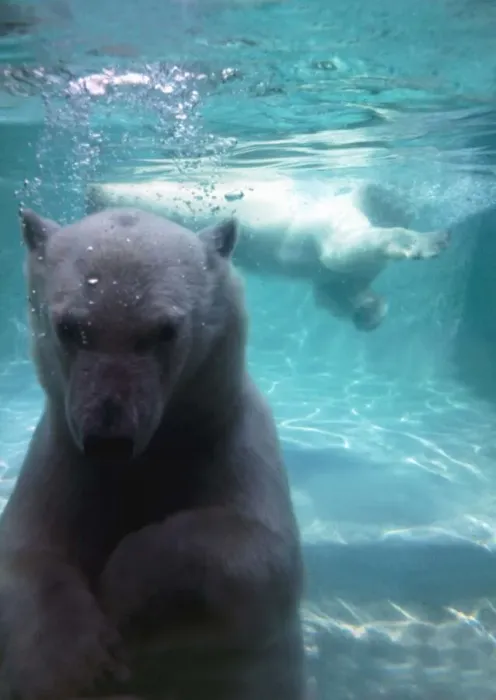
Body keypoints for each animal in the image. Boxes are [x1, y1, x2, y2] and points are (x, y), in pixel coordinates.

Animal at [0, 207, 305, 700]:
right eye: (69, 328)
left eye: (164, 330)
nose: (108, 439)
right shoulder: (63, 458)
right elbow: (25, 553)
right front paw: (72, 662)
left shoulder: (229, 440)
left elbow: (263, 556)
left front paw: (121, 590)